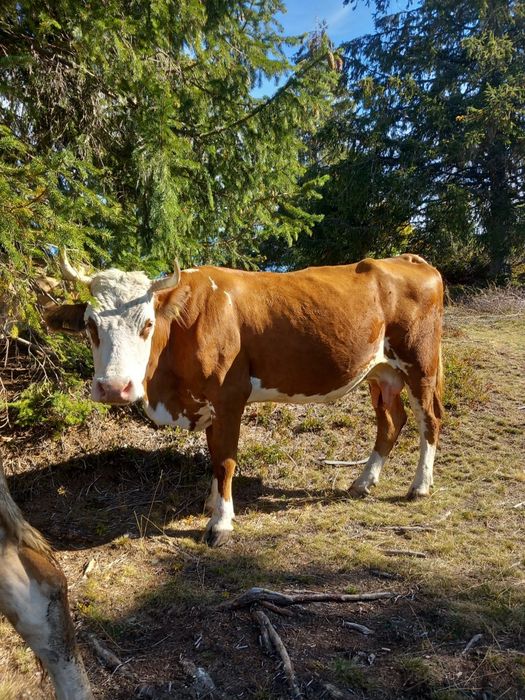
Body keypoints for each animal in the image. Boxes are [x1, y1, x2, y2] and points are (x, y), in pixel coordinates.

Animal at [46, 251, 443, 547]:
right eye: (90, 325)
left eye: (147, 324)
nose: (115, 387)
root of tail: (407, 259)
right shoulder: (208, 403)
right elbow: (213, 455)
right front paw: (211, 503)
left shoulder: (229, 397)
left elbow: (225, 461)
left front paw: (221, 522)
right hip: (380, 372)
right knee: (391, 421)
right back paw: (363, 481)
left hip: (420, 363)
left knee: (430, 419)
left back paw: (420, 486)